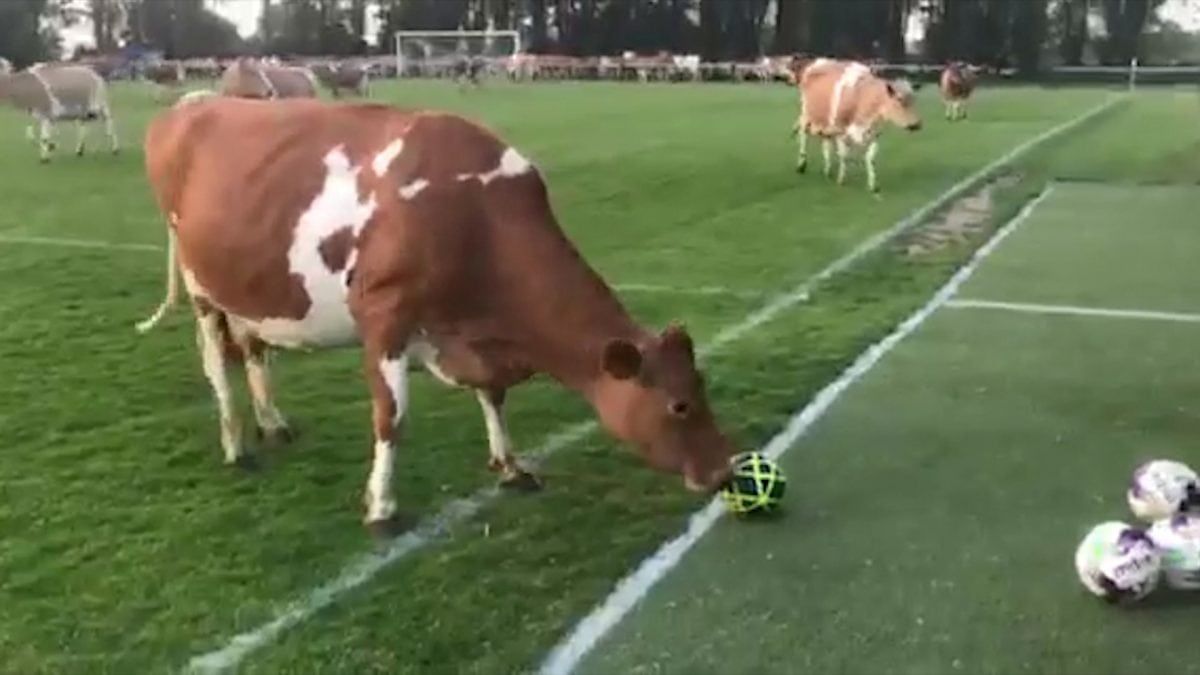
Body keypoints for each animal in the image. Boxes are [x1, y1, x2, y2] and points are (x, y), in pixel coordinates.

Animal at [140, 97, 739, 533]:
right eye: (679, 405)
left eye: (703, 387)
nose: (725, 469)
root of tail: (191, 103)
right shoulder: (384, 315)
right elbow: (392, 417)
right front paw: (381, 507)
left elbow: (494, 395)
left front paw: (511, 465)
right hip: (200, 286)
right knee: (216, 362)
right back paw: (237, 444)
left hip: (248, 288)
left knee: (254, 348)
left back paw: (272, 422)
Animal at [792, 55, 921, 193]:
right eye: (899, 100)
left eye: (914, 100)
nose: (917, 124)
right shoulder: (840, 130)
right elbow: (844, 156)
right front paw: (841, 180)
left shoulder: (874, 133)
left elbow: (870, 159)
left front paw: (873, 185)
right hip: (806, 114)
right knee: (803, 136)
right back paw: (801, 165)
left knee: (825, 144)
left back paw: (827, 170)